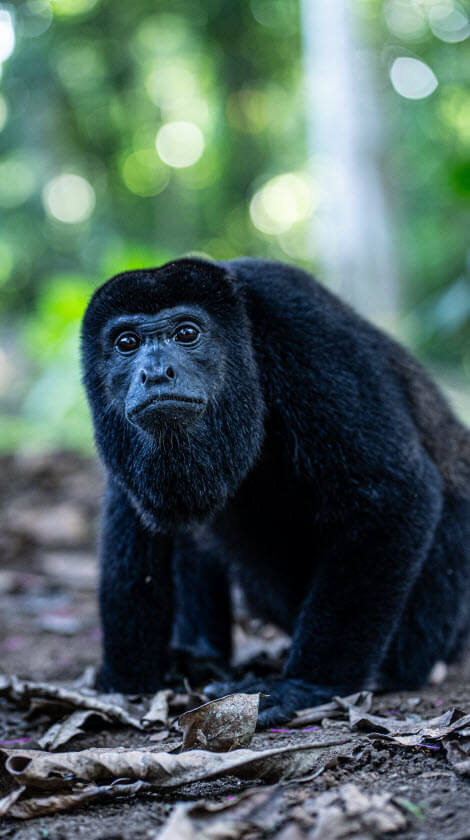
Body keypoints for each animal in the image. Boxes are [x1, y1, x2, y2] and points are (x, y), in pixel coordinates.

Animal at [81, 256, 470, 727]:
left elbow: (393, 491)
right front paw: (128, 680)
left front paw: (304, 685)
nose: (155, 373)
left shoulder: (300, 328)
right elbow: (137, 518)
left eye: (187, 333)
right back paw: (200, 657)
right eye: (126, 342)